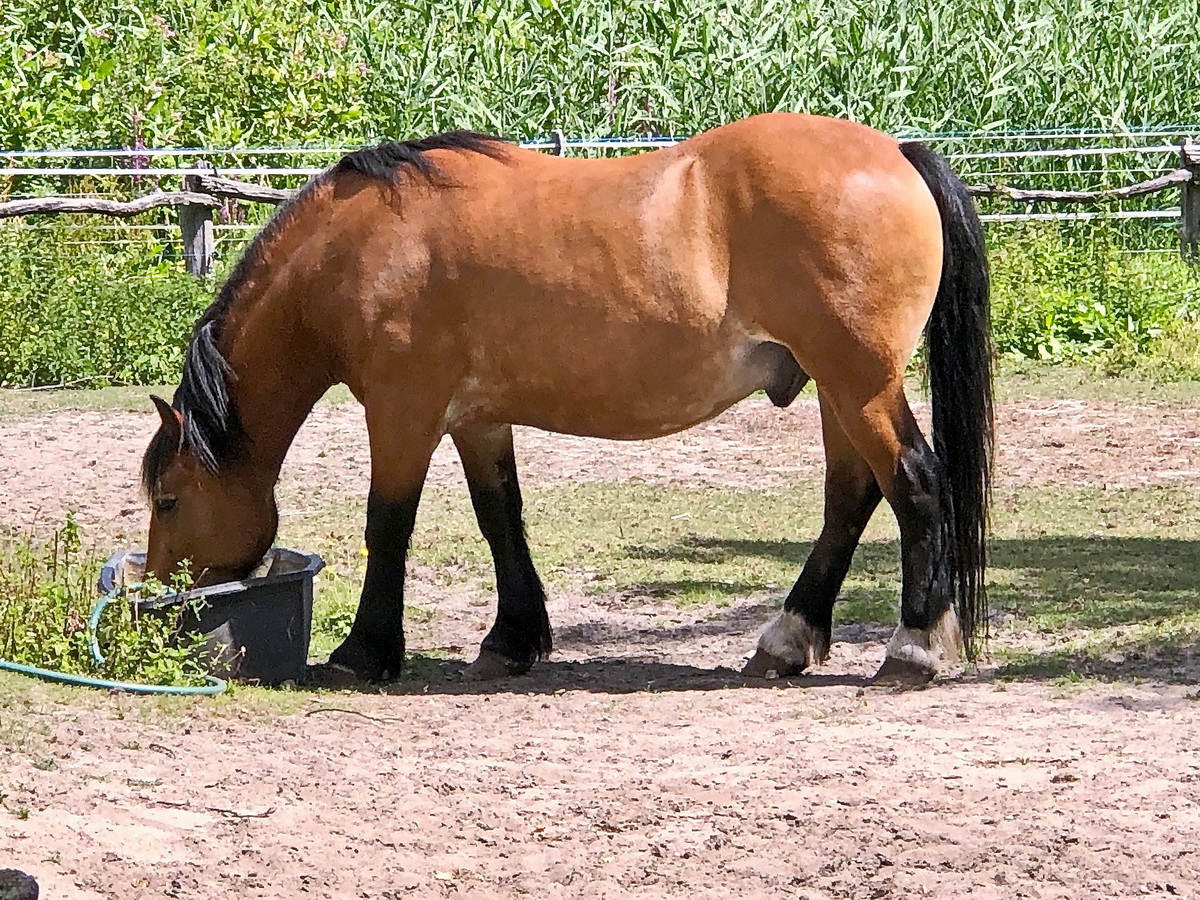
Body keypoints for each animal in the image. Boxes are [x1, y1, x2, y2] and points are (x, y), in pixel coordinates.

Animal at [142, 116, 993, 686]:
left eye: (169, 500)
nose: (152, 598)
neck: (357, 248)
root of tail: (896, 153)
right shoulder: (478, 421)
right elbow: (500, 519)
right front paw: (512, 640)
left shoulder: (401, 411)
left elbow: (387, 527)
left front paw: (364, 652)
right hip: (837, 389)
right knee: (851, 497)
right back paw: (787, 640)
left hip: (859, 382)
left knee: (912, 482)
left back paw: (914, 647)